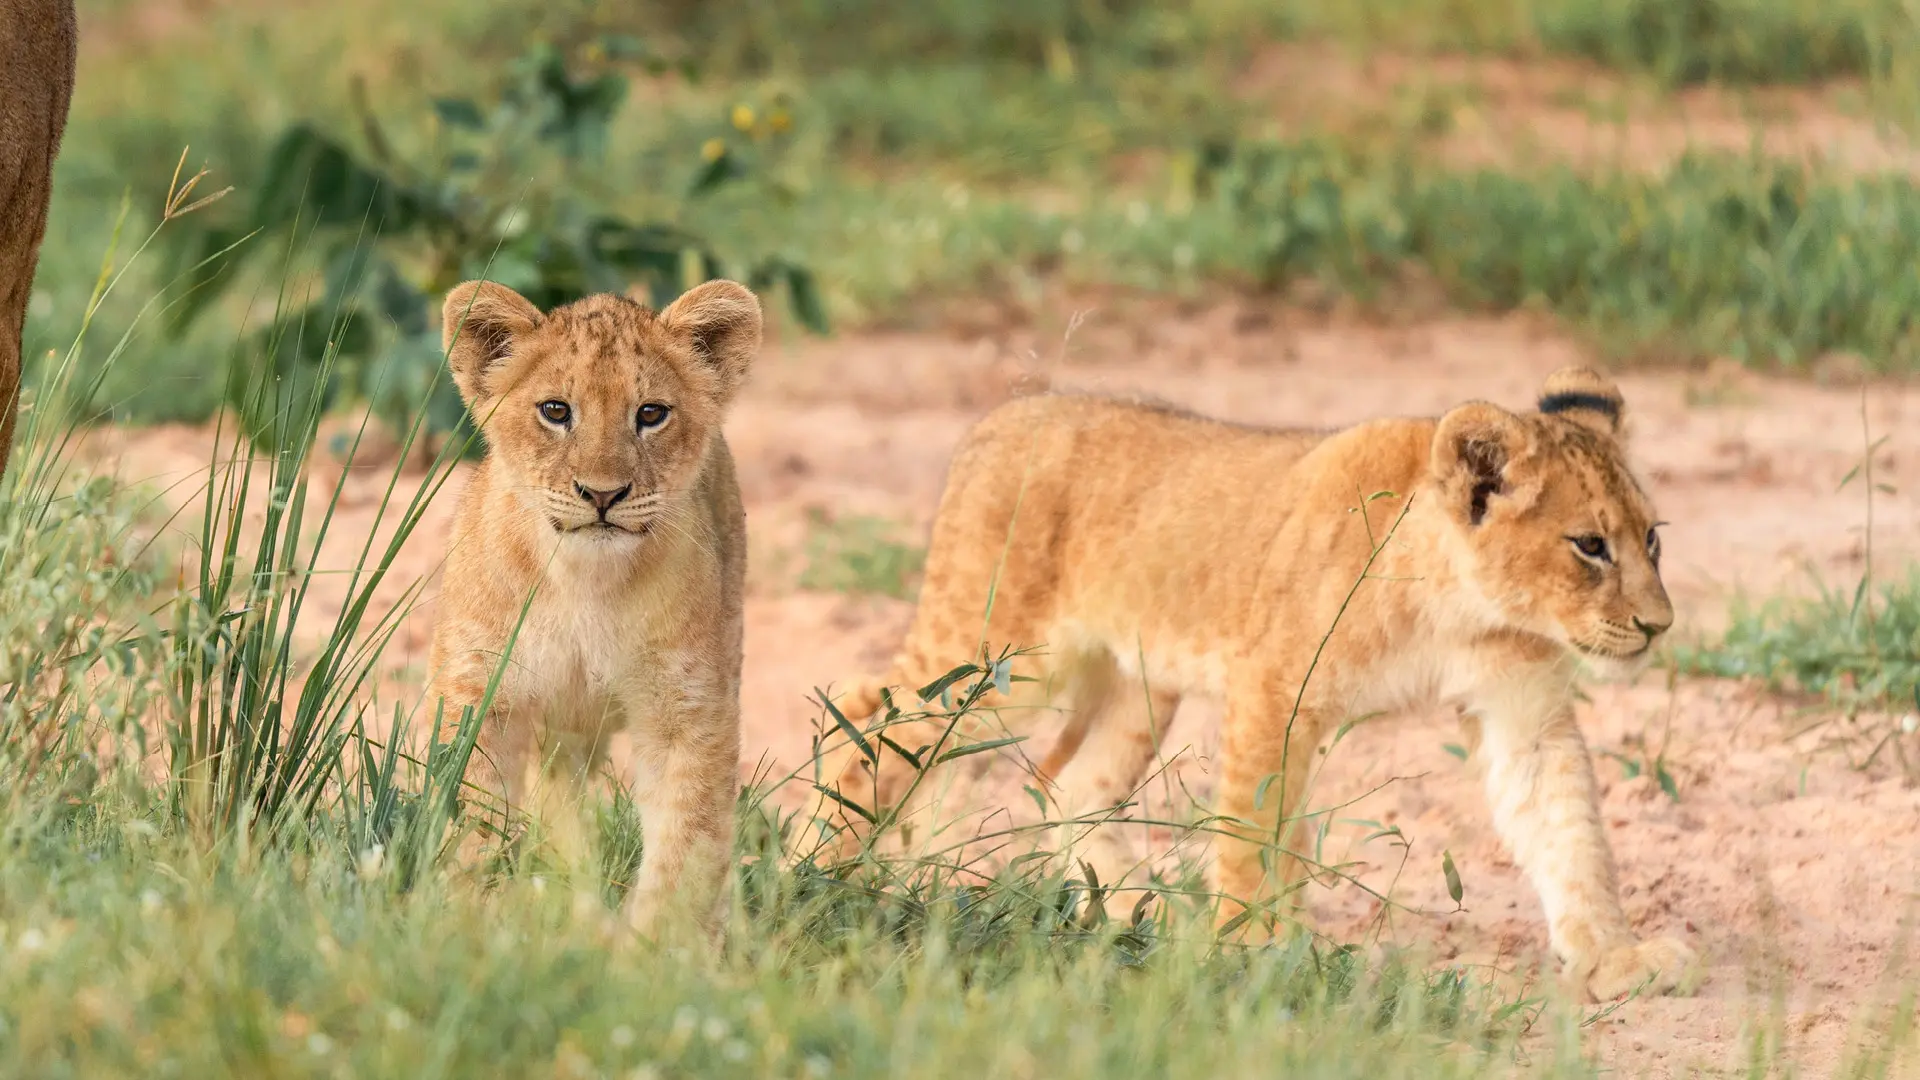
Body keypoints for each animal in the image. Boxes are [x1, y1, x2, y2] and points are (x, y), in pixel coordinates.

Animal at [426, 278, 759, 939]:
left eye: (650, 414)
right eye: (556, 411)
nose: (603, 494)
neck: (585, 585)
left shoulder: (687, 708)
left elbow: (688, 835)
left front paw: (660, 944)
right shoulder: (481, 688)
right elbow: (471, 808)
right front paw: (473, 918)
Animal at [815, 366, 1696, 1001]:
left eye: (1652, 539)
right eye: (1589, 546)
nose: (1659, 625)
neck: (1461, 608)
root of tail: (1001, 418)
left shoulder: (1524, 710)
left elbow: (1571, 832)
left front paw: (1615, 959)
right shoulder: (1274, 692)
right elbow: (1253, 833)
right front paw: (1247, 954)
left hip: (1137, 684)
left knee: (1070, 780)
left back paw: (1134, 913)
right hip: (993, 656)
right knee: (866, 714)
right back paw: (816, 880)